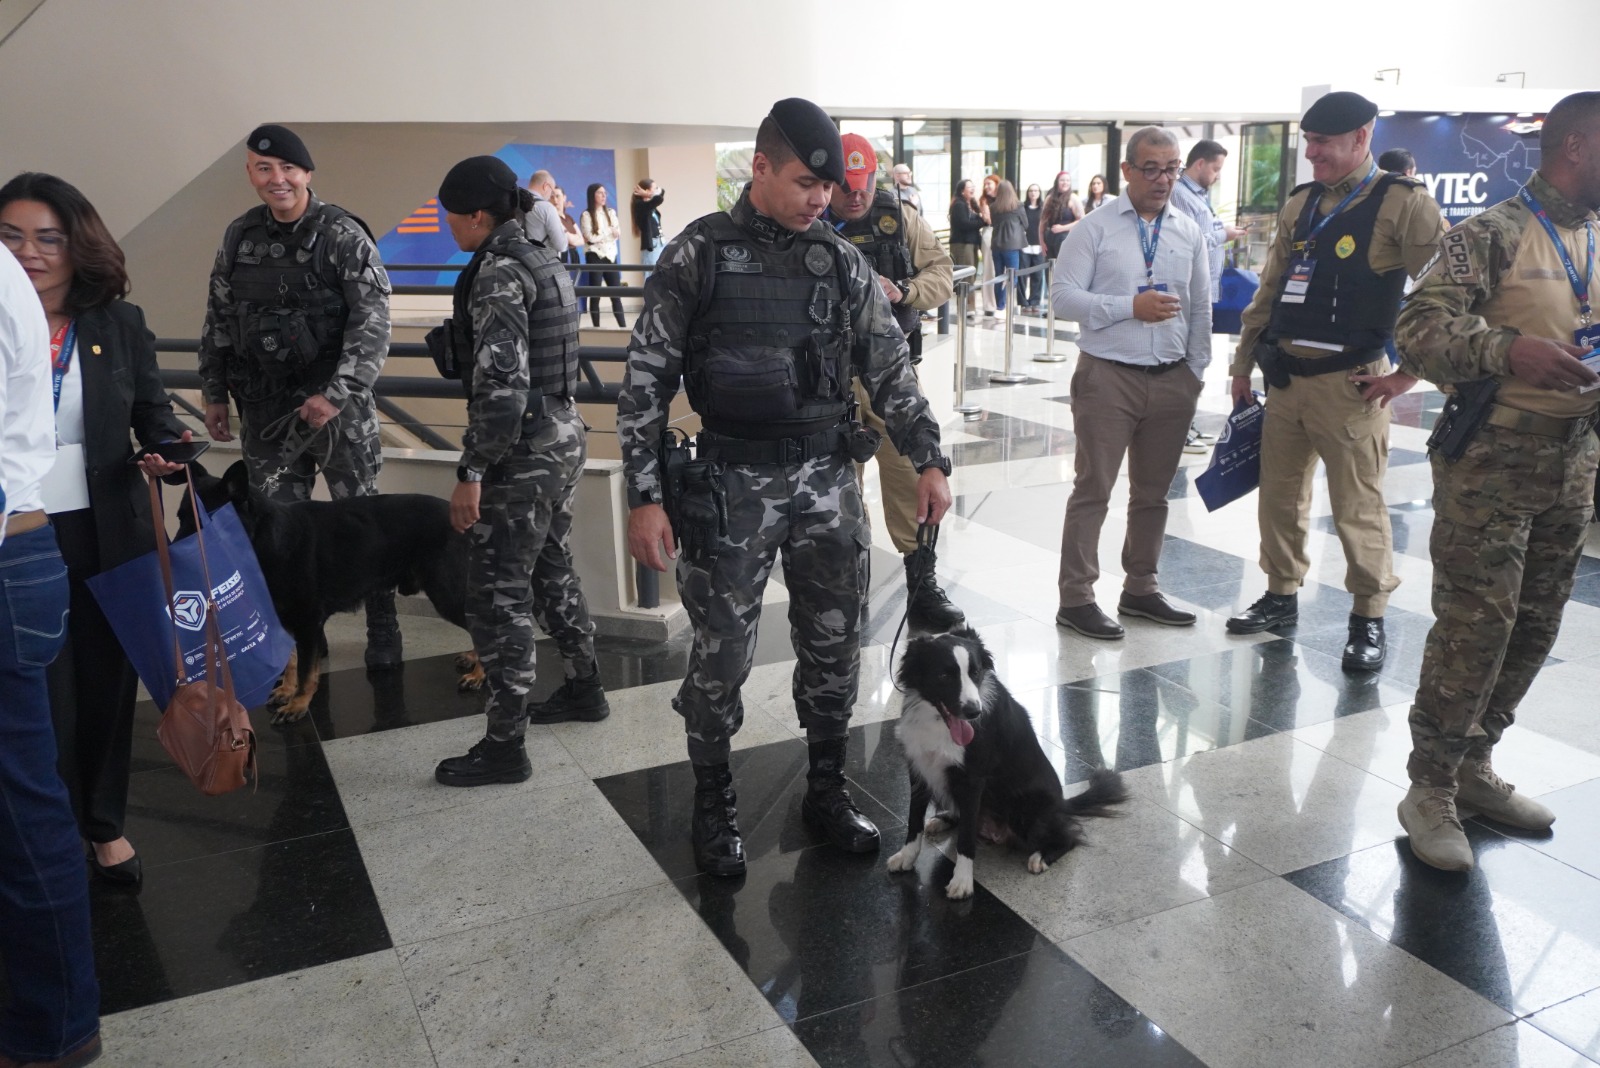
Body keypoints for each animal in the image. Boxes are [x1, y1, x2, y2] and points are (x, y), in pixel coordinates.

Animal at [184, 460, 479, 722]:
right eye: (181, 517)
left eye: (203, 523)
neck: (264, 535)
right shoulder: (288, 622)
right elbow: (292, 662)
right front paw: (288, 691)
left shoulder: (307, 625)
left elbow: (306, 672)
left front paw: (298, 704)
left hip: (446, 594)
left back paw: (479, 674)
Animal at [887, 626, 1128, 899]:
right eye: (944, 675)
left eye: (975, 673)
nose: (974, 711)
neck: (937, 721)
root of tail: (1062, 805)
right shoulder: (918, 767)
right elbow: (914, 819)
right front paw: (907, 856)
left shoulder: (973, 779)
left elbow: (966, 836)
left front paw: (962, 881)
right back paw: (943, 819)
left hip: (1025, 809)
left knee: (1069, 836)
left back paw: (1041, 857)